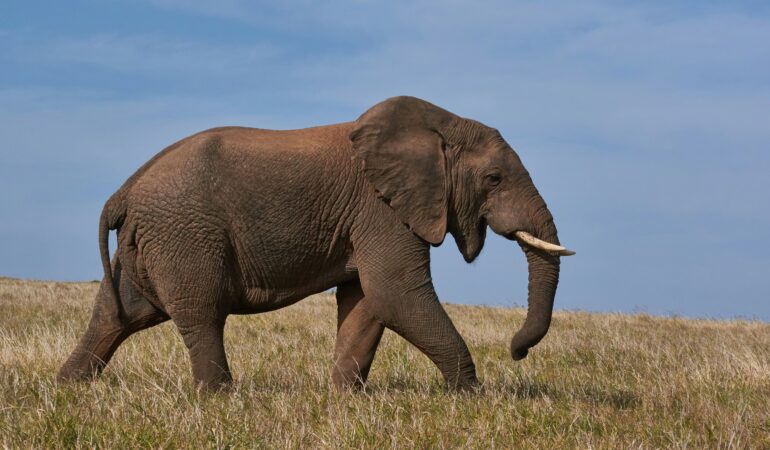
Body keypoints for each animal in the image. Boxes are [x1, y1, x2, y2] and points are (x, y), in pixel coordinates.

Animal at [57, 96, 574, 391]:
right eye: (494, 179)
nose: (517, 352)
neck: (439, 125)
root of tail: (124, 191)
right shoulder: (380, 209)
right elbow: (396, 294)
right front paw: (467, 397)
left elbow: (367, 302)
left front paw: (344, 399)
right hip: (184, 235)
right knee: (201, 314)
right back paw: (220, 399)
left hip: (148, 244)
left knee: (118, 315)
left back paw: (68, 389)